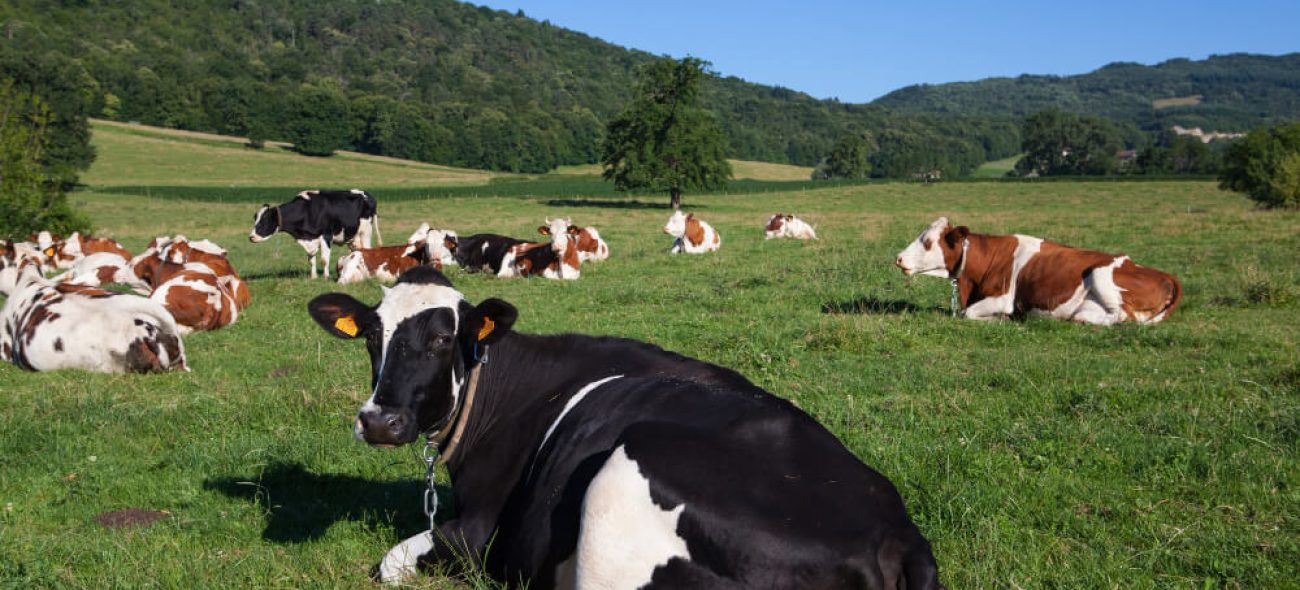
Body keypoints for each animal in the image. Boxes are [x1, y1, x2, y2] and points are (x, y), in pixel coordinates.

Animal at [249, 189, 382, 279]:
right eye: (255, 219)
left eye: (264, 221)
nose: (251, 237)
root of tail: (368, 195)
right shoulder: (310, 240)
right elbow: (311, 260)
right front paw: (313, 277)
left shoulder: (326, 236)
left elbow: (324, 260)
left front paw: (326, 277)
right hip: (353, 237)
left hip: (365, 232)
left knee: (367, 249)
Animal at [306, 266, 941, 589]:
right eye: (372, 335)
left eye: (443, 338)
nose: (380, 421)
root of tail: (897, 533)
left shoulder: (480, 534)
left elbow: (390, 564)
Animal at [895, 216, 1182, 325]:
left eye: (927, 242)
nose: (898, 258)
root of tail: (1165, 274)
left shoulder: (1003, 298)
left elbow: (969, 313)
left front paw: (1000, 319)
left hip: (1100, 273)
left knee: (1123, 316)